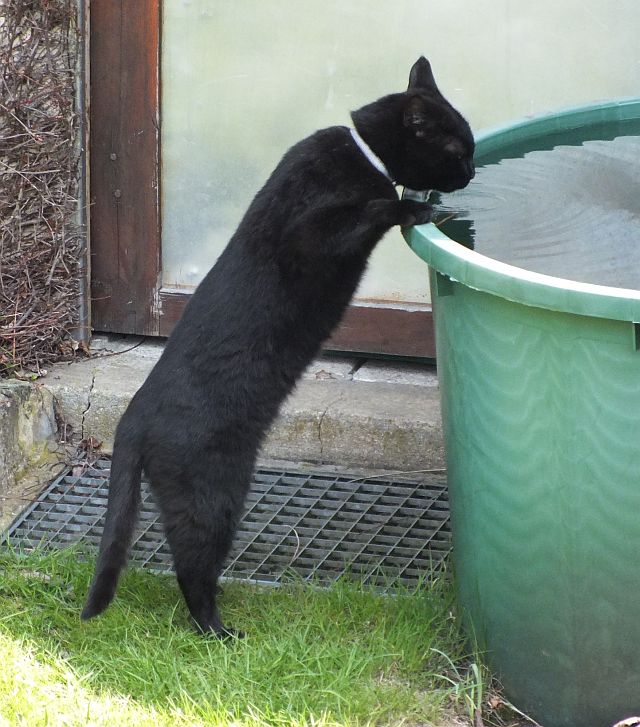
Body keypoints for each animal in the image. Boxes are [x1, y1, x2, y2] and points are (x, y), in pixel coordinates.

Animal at [81, 57, 476, 636]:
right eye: (456, 148)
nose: (471, 172)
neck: (363, 151)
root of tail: (132, 417)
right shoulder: (308, 237)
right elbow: (373, 207)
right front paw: (413, 208)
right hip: (213, 493)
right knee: (192, 570)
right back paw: (221, 633)